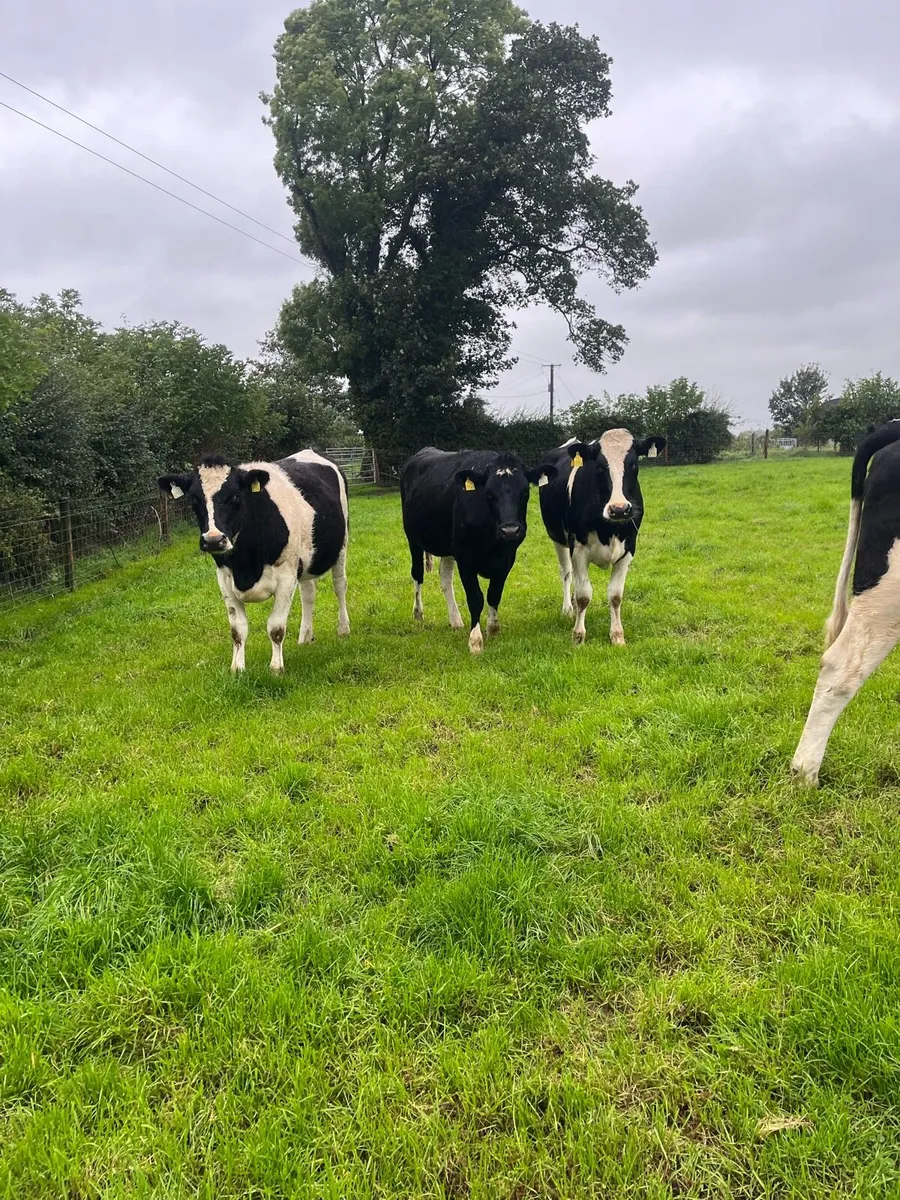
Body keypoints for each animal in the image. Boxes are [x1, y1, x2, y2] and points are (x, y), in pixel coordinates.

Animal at [157, 449, 349, 673]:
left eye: (235, 496)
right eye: (194, 499)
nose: (213, 540)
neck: (245, 566)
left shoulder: (286, 576)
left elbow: (276, 627)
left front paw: (275, 668)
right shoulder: (224, 579)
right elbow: (237, 629)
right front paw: (237, 668)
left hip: (341, 545)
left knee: (339, 585)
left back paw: (343, 629)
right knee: (308, 593)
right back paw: (305, 637)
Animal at [400, 447, 557, 654]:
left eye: (524, 492)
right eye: (489, 494)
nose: (510, 530)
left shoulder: (507, 559)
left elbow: (494, 594)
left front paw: (493, 628)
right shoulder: (465, 559)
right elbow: (475, 599)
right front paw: (475, 640)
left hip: (447, 546)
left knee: (445, 579)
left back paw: (455, 620)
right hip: (413, 539)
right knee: (417, 574)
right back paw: (418, 612)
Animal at [537, 430, 666, 645]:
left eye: (634, 464)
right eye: (598, 466)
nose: (619, 509)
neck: (609, 530)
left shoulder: (629, 548)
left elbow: (615, 595)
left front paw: (617, 636)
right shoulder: (578, 548)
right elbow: (584, 595)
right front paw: (578, 637)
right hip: (557, 537)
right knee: (567, 573)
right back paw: (568, 609)